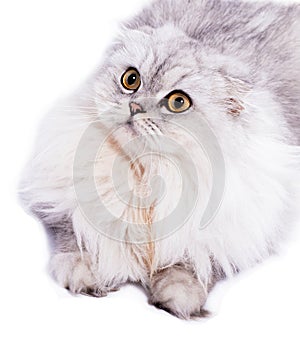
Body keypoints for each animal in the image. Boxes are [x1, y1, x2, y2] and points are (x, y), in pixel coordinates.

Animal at [19, 0, 300, 320]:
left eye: (178, 102)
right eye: (131, 80)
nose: (135, 106)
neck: (145, 174)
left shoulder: (223, 236)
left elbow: (190, 269)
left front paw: (177, 301)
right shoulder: (66, 202)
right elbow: (77, 240)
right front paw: (85, 275)